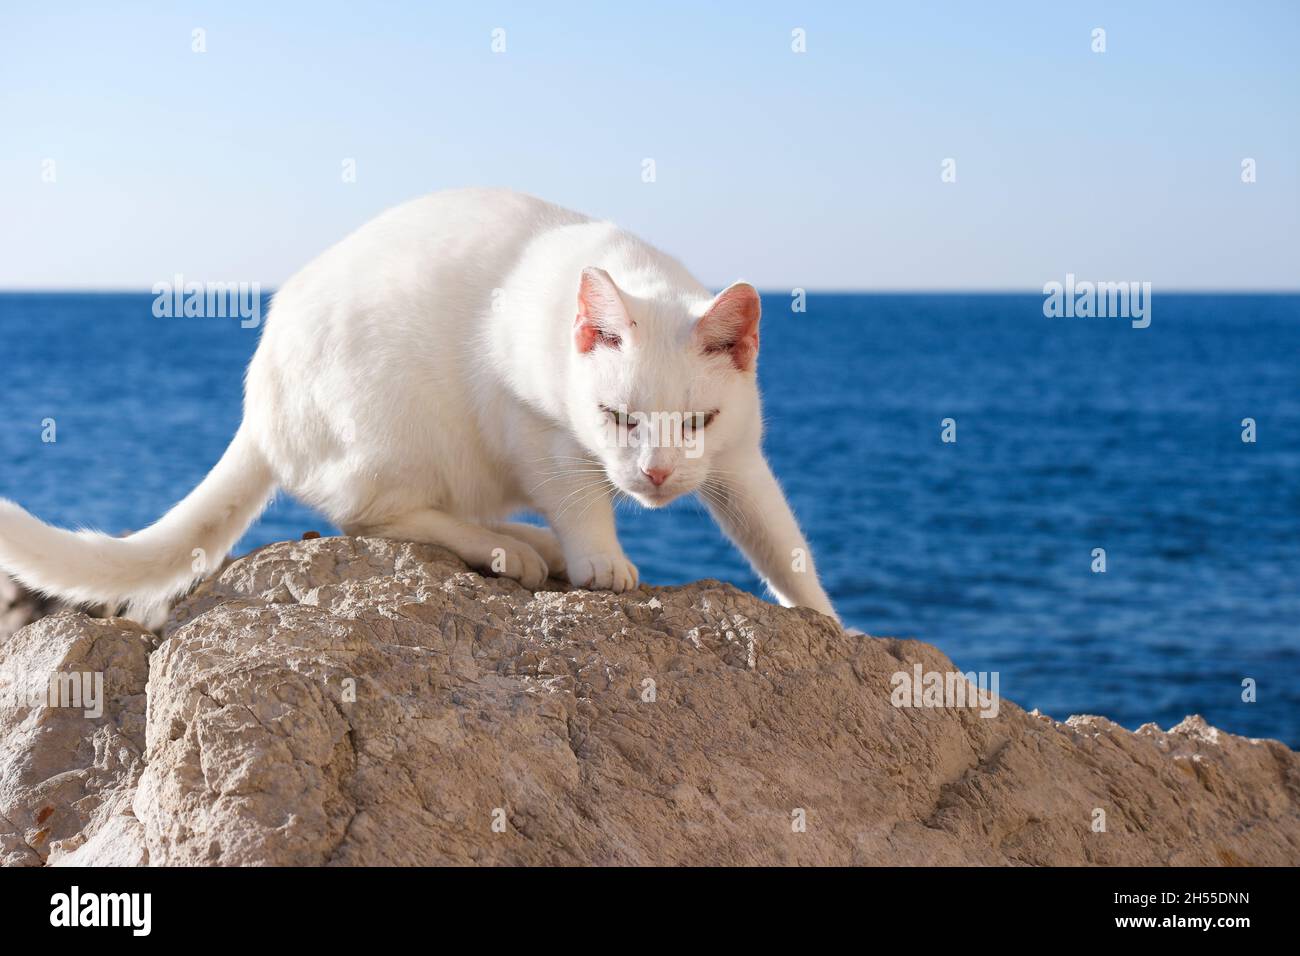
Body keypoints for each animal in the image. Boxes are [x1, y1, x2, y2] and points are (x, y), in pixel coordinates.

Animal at [0, 188, 837, 621]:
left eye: (696, 423)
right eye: (619, 418)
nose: (658, 476)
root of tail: (258, 398)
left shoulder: (737, 457)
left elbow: (777, 538)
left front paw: (826, 619)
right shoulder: (535, 428)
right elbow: (578, 498)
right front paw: (601, 560)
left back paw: (522, 539)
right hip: (396, 430)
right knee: (370, 516)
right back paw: (511, 548)